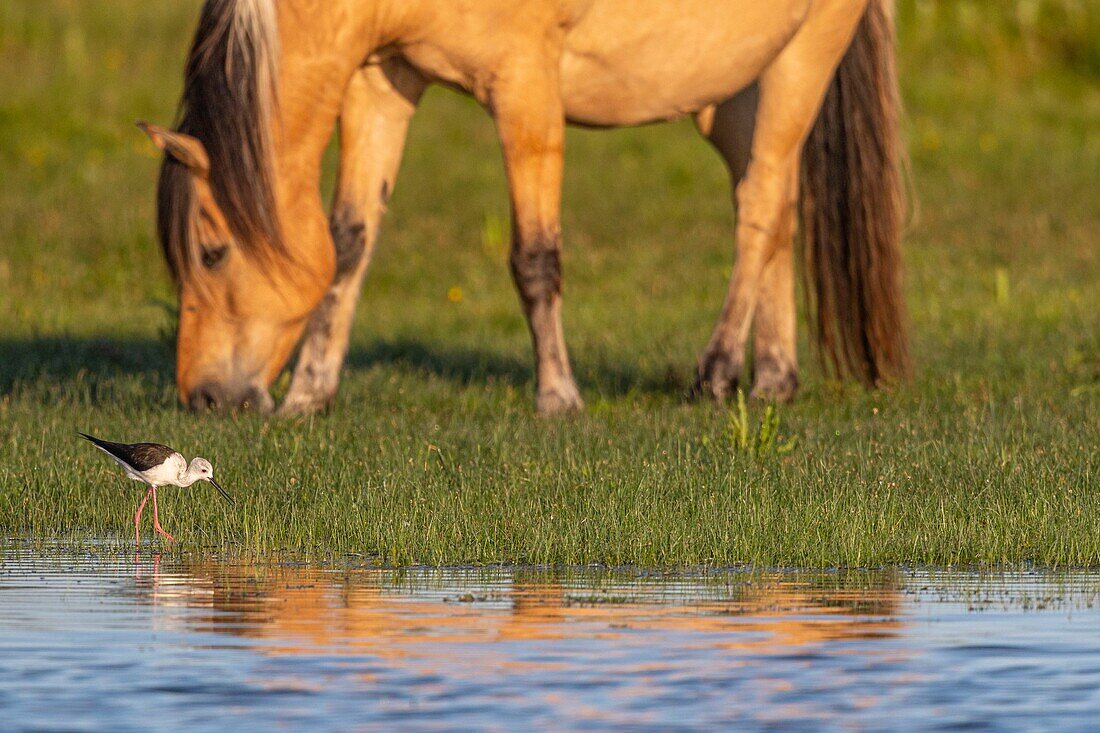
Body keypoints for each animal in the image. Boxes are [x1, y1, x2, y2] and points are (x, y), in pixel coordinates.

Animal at [141, 0, 906, 411]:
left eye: (212, 250)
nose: (203, 397)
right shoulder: (382, 80)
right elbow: (350, 242)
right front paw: (310, 394)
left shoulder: (525, 86)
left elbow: (535, 259)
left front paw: (558, 397)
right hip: (731, 91)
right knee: (776, 207)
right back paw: (774, 379)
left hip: (804, 57)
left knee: (761, 204)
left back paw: (716, 375)